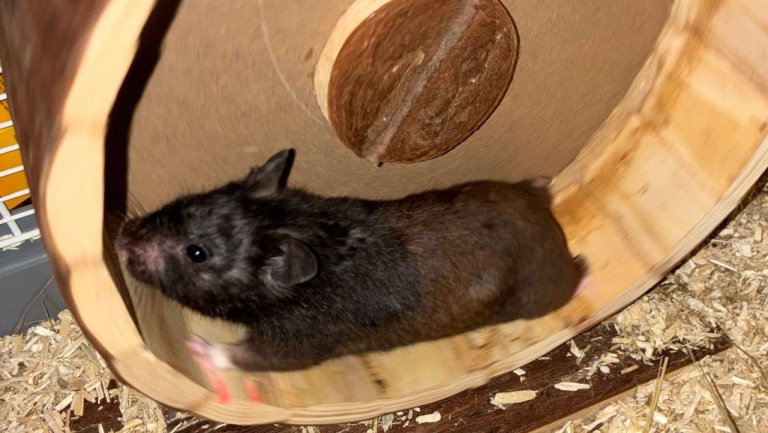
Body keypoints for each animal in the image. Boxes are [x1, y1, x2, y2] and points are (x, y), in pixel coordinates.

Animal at [115, 148, 589, 374]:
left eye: (197, 253)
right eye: (188, 201)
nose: (119, 241)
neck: (307, 229)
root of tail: (549, 223)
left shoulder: (300, 338)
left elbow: (257, 356)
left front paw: (200, 348)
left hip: (541, 293)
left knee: (576, 278)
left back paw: (584, 275)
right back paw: (542, 180)